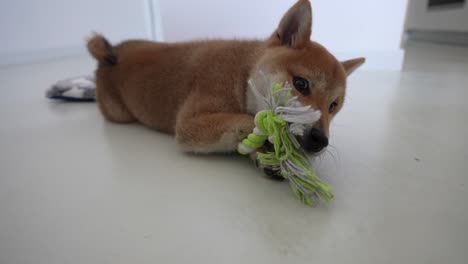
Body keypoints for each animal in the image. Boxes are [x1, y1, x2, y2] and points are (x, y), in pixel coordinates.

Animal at [88, 0, 366, 163]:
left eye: (333, 106)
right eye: (301, 84)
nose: (320, 141)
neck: (242, 72)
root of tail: (111, 53)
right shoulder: (189, 124)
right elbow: (247, 121)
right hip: (119, 114)